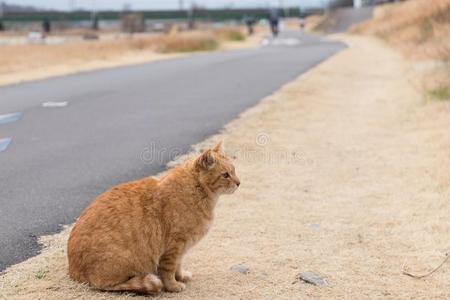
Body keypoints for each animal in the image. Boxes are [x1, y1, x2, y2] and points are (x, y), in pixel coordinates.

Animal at [67, 142, 239, 294]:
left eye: (234, 170)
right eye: (225, 175)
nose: (239, 182)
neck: (198, 192)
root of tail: (73, 271)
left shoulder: (181, 248)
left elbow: (178, 265)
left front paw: (181, 277)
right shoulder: (174, 246)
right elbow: (168, 270)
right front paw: (173, 286)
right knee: (108, 285)